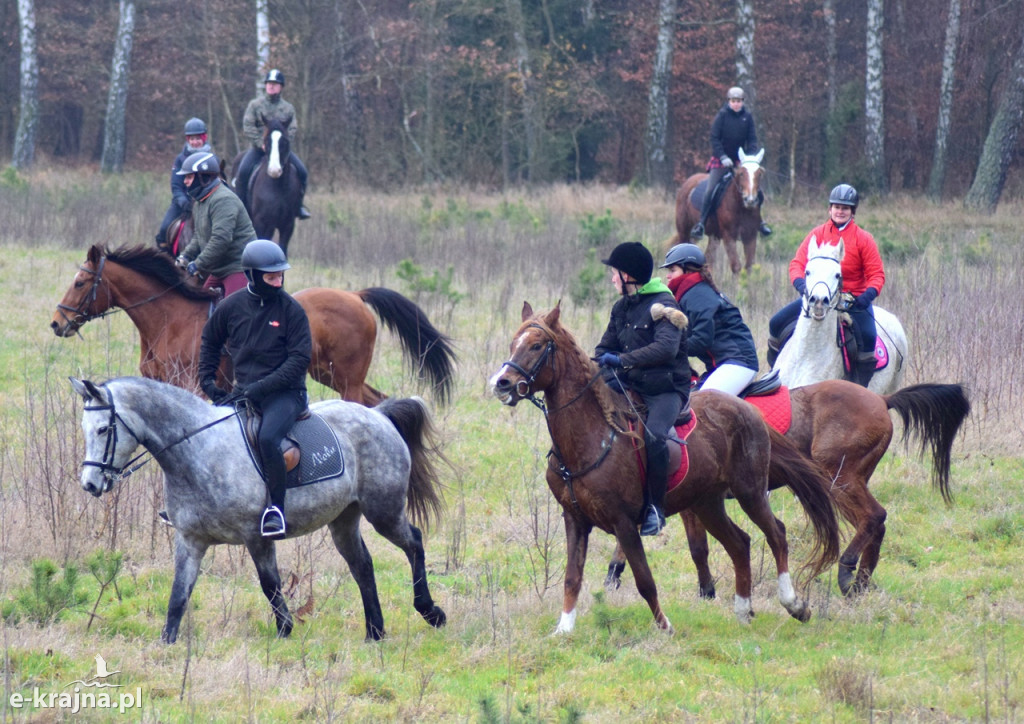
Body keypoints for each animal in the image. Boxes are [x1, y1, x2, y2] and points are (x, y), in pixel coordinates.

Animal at [51, 244, 456, 407]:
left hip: (346, 379)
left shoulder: (191, 385)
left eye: (80, 282)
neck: (168, 319)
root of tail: (355, 296)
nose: (57, 323)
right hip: (327, 373)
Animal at [68, 376, 444, 643]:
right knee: (362, 565)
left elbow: (270, 584)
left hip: (383, 511)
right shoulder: (190, 541)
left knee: (413, 543)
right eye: (84, 429)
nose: (89, 484)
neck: (198, 451)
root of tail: (378, 415)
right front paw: (167, 642)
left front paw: (284, 630)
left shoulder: (256, 536)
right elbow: (179, 594)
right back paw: (375, 631)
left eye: (103, 429)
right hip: (344, 519)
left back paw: (430, 612)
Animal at [489, 305, 839, 634]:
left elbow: (644, 580)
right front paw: (563, 629)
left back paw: (793, 604)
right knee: (740, 544)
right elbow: (572, 577)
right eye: (513, 343)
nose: (502, 383)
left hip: (750, 492)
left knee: (776, 534)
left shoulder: (624, 523)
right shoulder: (575, 519)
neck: (593, 436)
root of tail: (747, 408)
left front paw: (665, 626)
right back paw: (742, 610)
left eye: (537, 345)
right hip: (706, 503)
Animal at [602, 376, 970, 598]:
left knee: (874, 517)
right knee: (876, 523)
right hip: (849, 480)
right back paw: (860, 583)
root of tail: (882, 398)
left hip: (837, 478)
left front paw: (706, 592)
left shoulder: (688, 503)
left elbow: (697, 548)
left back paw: (846, 571)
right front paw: (613, 574)